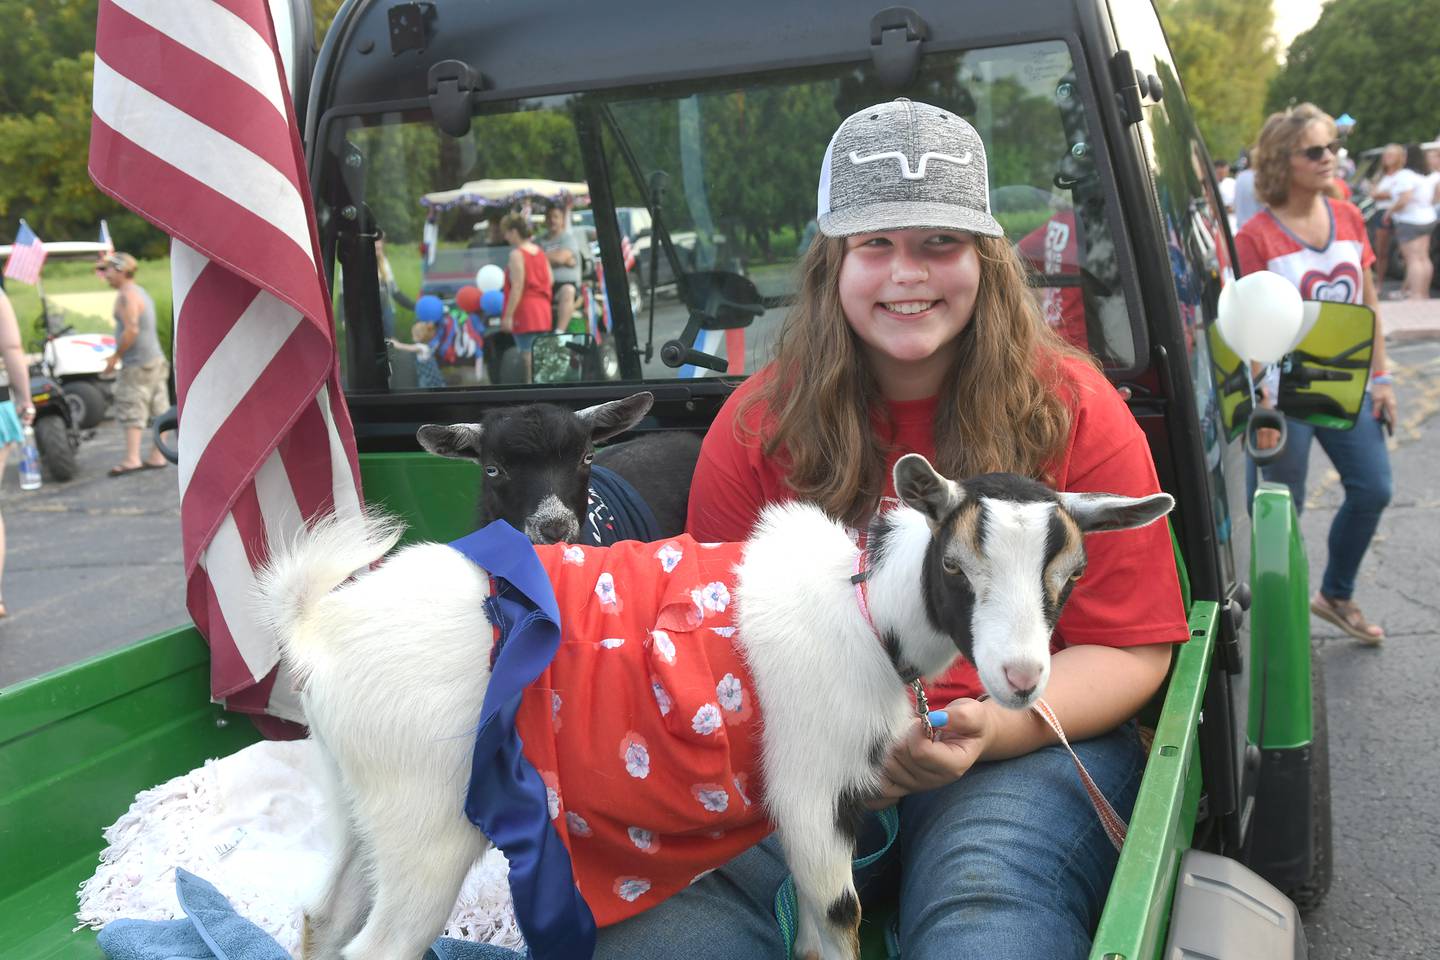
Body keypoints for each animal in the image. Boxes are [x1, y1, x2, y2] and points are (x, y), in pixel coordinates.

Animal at [259, 451, 1175, 960]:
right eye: (956, 566)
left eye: (1073, 574)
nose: (1022, 677)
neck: (864, 605)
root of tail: (319, 627)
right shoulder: (809, 790)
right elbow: (837, 919)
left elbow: (810, 928)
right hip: (430, 825)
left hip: (366, 803)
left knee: (324, 919)